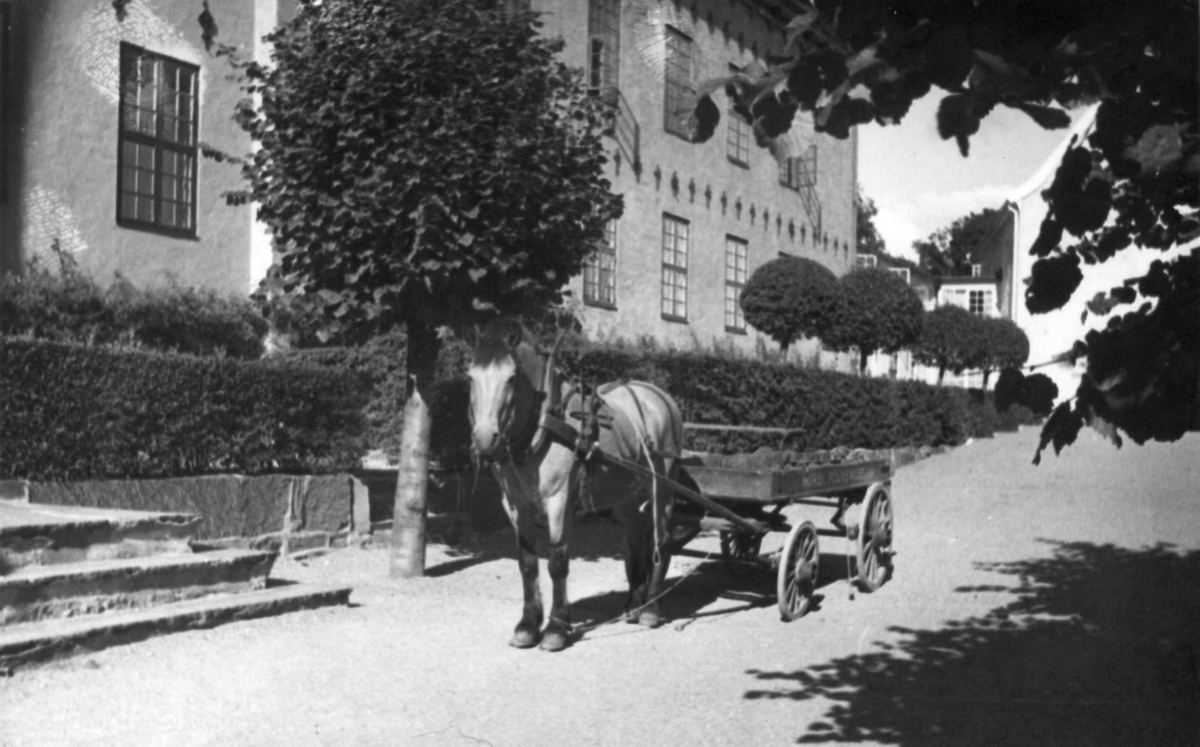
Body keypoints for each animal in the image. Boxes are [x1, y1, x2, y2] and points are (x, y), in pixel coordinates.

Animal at [468, 319, 686, 653]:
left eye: (511, 378)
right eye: (470, 376)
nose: (484, 440)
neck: (542, 424)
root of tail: (659, 396)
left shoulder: (559, 501)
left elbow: (557, 564)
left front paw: (556, 628)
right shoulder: (515, 506)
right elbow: (527, 564)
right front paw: (527, 626)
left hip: (663, 487)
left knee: (661, 540)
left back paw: (650, 608)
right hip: (625, 496)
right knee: (636, 542)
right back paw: (633, 605)